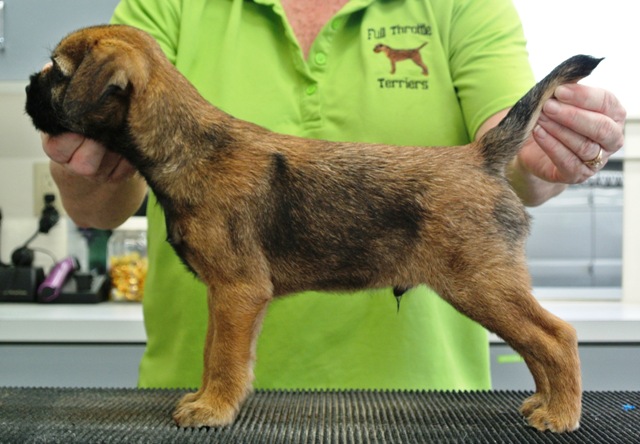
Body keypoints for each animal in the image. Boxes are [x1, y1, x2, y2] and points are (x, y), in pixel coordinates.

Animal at [26, 25, 600, 434]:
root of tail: (481, 157)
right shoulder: (228, 297)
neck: (191, 147)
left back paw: (561, 413)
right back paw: (545, 402)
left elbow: (224, 358)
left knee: (556, 337)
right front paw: (209, 398)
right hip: (488, 288)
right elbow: (216, 353)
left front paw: (214, 409)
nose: (29, 86)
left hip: (481, 284)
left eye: (57, 71)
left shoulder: (238, 291)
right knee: (537, 344)